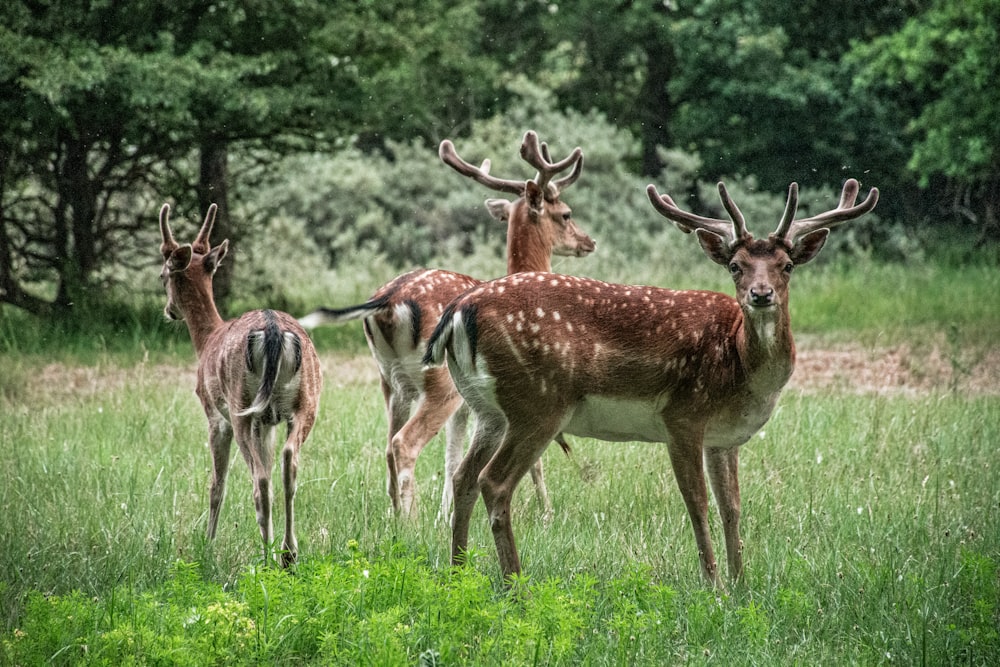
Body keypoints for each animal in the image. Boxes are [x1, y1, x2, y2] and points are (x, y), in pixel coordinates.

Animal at [158, 201, 320, 568]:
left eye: (162, 277)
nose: (169, 310)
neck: (205, 340)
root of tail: (273, 330)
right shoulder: (268, 422)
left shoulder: (214, 415)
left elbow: (216, 484)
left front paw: (207, 543)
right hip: (305, 402)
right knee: (288, 464)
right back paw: (288, 553)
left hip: (240, 407)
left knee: (259, 482)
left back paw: (268, 557)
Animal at [296, 133, 592, 524]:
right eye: (566, 214)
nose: (588, 241)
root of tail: (387, 301)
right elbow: (534, 460)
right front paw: (546, 511)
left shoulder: (469, 407)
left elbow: (454, 458)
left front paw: (445, 514)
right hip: (439, 383)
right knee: (403, 443)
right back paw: (411, 519)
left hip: (390, 381)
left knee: (388, 445)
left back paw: (396, 514)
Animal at [426, 176, 880, 584]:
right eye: (736, 267)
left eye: (786, 266)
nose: (761, 294)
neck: (740, 367)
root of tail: (459, 311)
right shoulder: (683, 416)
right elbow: (697, 502)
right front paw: (714, 586)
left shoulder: (723, 437)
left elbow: (732, 506)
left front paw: (741, 585)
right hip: (538, 402)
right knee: (494, 481)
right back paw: (514, 585)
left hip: (489, 411)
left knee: (463, 478)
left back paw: (457, 575)